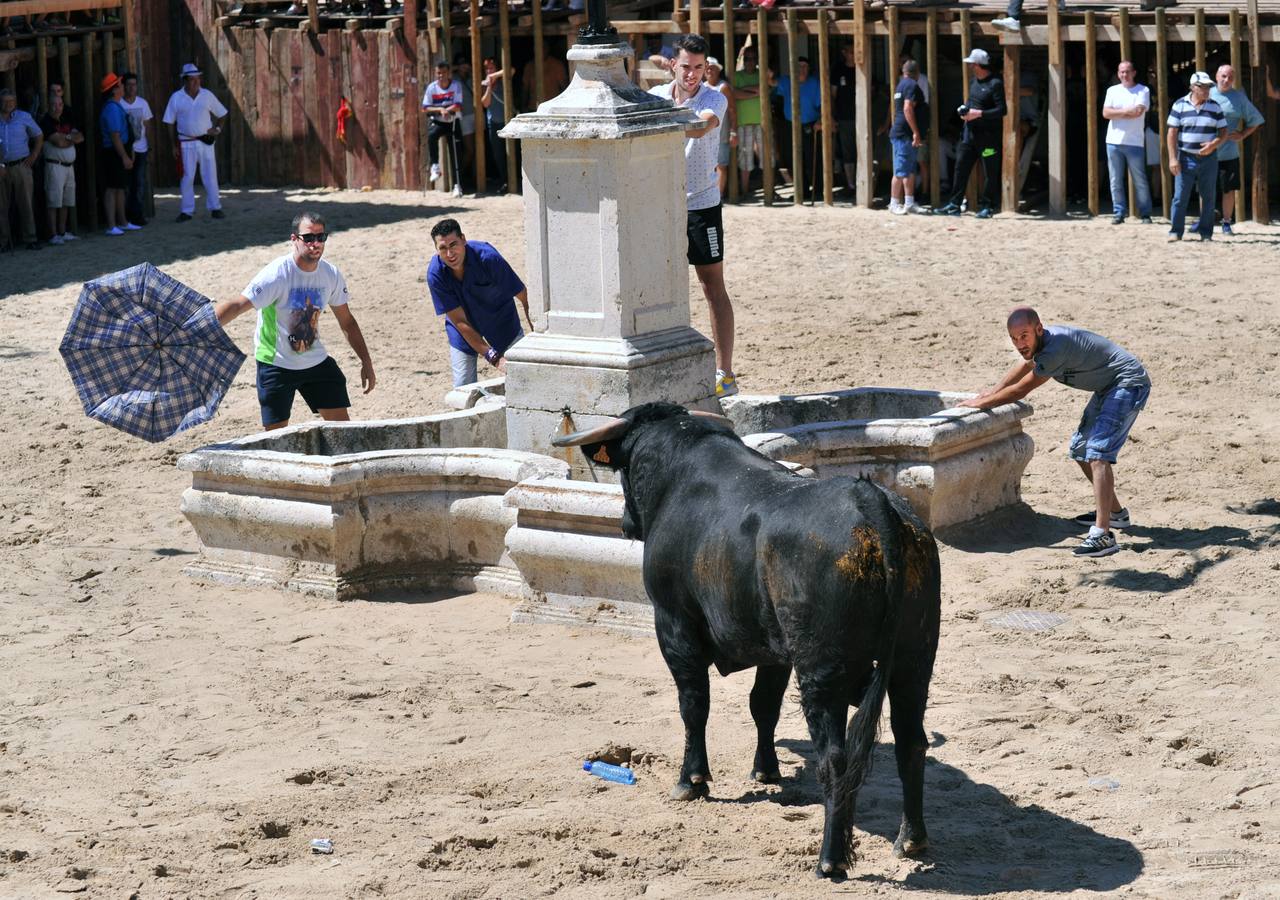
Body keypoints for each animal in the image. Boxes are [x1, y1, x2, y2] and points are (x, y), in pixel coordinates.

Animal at [555, 401, 947, 880]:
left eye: (626, 470)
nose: (626, 524)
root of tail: (871, 501)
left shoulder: (674, 625)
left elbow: (694, 705)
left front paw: (691, 781)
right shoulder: (774, 650)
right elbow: (763, 705)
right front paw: (766, 771)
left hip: (822, 670)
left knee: (835, 756)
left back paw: (830, 859)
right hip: (916, 655)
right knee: (911, 740)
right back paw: (911, 839)